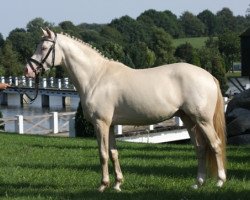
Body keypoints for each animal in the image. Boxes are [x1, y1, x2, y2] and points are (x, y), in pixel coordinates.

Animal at [24, 28, 226, 192]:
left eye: (44, 48)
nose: (28, 70)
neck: (96, 77)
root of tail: (208, 76)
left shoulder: (101, 124)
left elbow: (103, 154)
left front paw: (103, 185)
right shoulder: (111, 125)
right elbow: (114, 153)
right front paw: (118, 184)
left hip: (202, 120)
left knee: (215, 144)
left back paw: (220, 181)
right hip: (188, 119)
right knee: (200, 148)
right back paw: (198, 183)